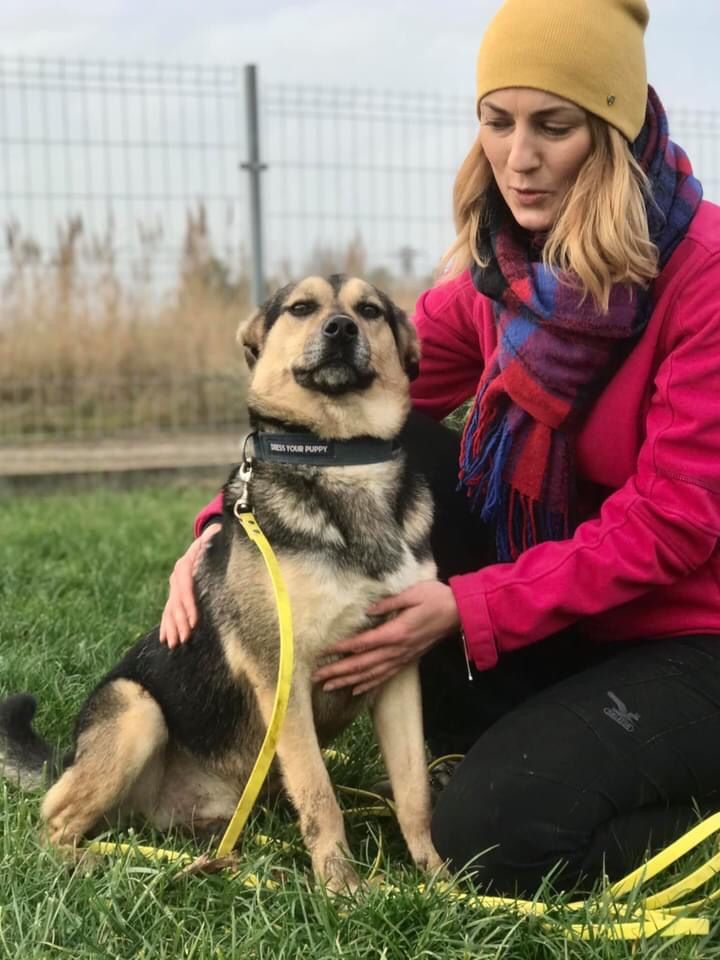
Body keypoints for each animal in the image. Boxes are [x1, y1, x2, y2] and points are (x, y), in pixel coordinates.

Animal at [0, 272, 444, 892]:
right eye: (302, 308)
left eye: (370, 311)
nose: (340, 329)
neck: (339, 458)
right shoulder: (283, 673)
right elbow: (321, 796)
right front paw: (343, 891)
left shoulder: (398, 671)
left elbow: (414, 791)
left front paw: (439, 878)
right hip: (137, 709)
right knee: (52, 820)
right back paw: (85, 861)